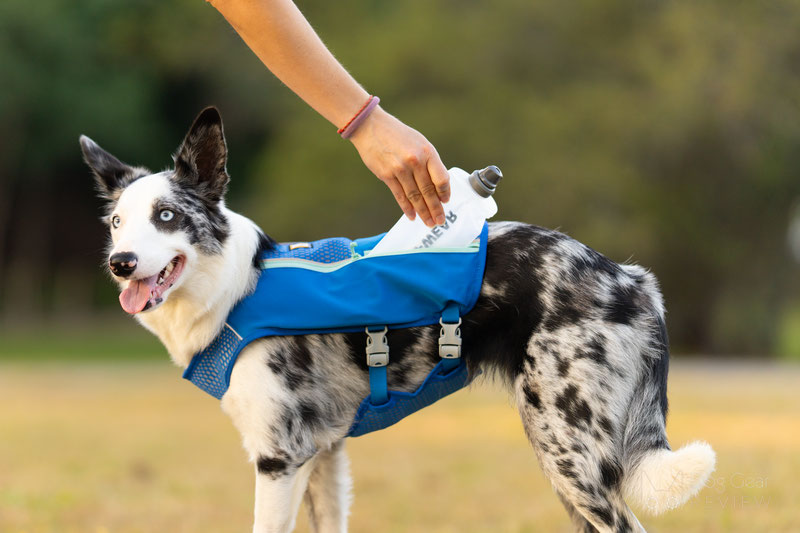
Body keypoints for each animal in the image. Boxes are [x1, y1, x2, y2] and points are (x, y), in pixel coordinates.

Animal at [81, 106, 716, 528]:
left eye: (166, 216)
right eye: (116, 223)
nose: (120, 263)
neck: (238, 289)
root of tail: (629, 277)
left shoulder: (279, 459)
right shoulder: (323, 456)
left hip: (567, 453)